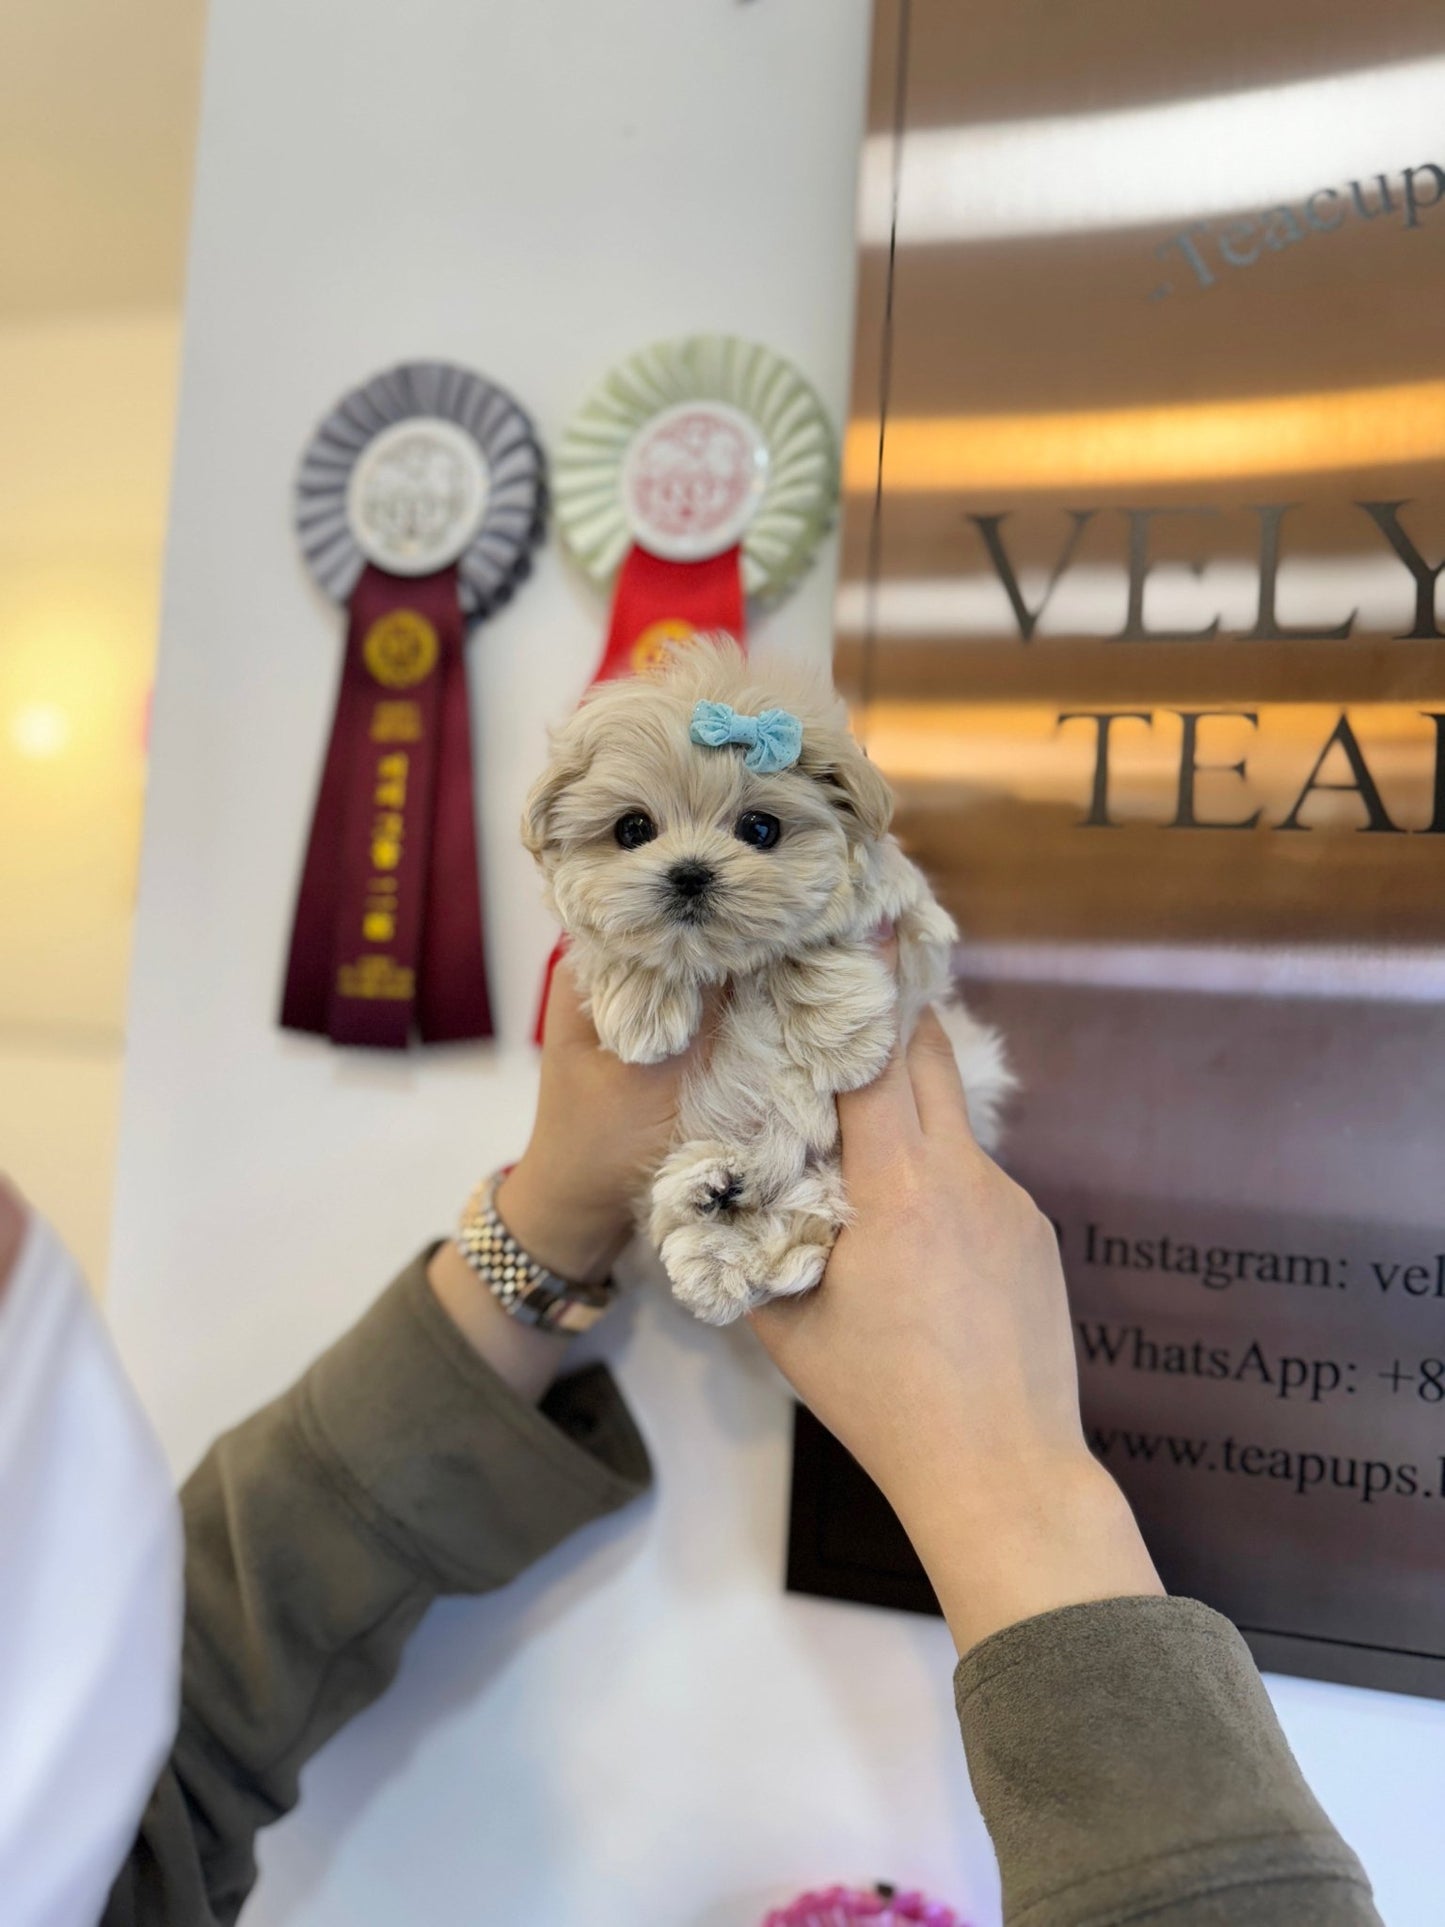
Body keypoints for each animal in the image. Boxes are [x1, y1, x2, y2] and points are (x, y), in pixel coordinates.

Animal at [527, 632, 1009, 1325]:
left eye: (760, 828)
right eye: (633, 829)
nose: (690, 872)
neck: (725, 960)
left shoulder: (910, 918)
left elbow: (813, 938)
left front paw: (845, 1045)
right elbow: (617, 946)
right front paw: (644, 1008)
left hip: (821, 1172)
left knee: (801, 1224)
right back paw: (713, 1207)